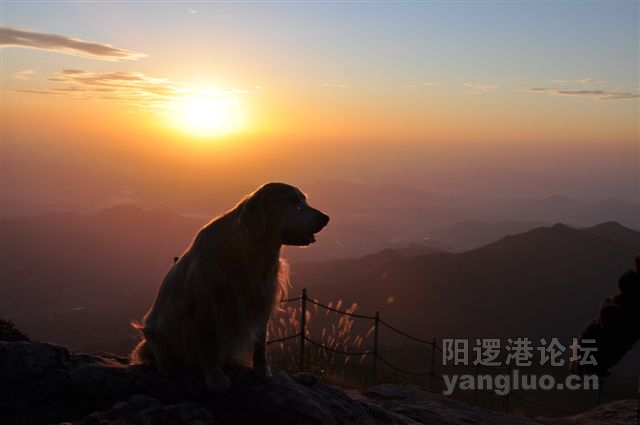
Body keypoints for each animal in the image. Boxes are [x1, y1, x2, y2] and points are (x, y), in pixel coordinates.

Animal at [130, 181, 330, 390]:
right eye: (291, 201)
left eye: (305, 200)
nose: (326, 218)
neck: (250, 251)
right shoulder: (206, 305)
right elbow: (208, 345)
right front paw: (215, 377)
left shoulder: (262, 299)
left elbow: (260, 342)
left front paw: (262, 370)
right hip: (157, 329)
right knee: (154, 351)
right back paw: (166, 366)